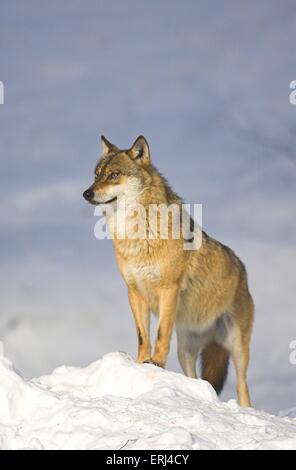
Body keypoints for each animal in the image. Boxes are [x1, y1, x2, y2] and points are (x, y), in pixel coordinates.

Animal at [83, 136, 254, 408]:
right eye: (96, 175)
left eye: (114, 175)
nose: (86, 193)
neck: (137, 235)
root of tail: (243, 270)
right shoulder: (134, 291)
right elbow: (143, 335)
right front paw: (142, 363)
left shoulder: (168, 288)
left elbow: (161, 334)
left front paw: (157, 363)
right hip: (186, 351)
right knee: (196, 379)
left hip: (237, 347)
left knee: (242, 386)